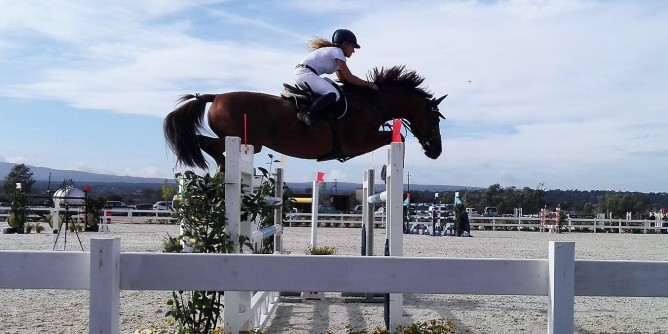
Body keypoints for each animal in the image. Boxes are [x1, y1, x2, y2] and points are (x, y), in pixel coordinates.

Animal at [162, 65, 446, 170]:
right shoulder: (357, 141)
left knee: (204, 142)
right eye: (434, 119)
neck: (373, 102)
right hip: (245, 140)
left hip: (248, 141)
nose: (437, 151)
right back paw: (224, 167)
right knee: (205, 143)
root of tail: (216, 96)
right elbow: (396, 139)